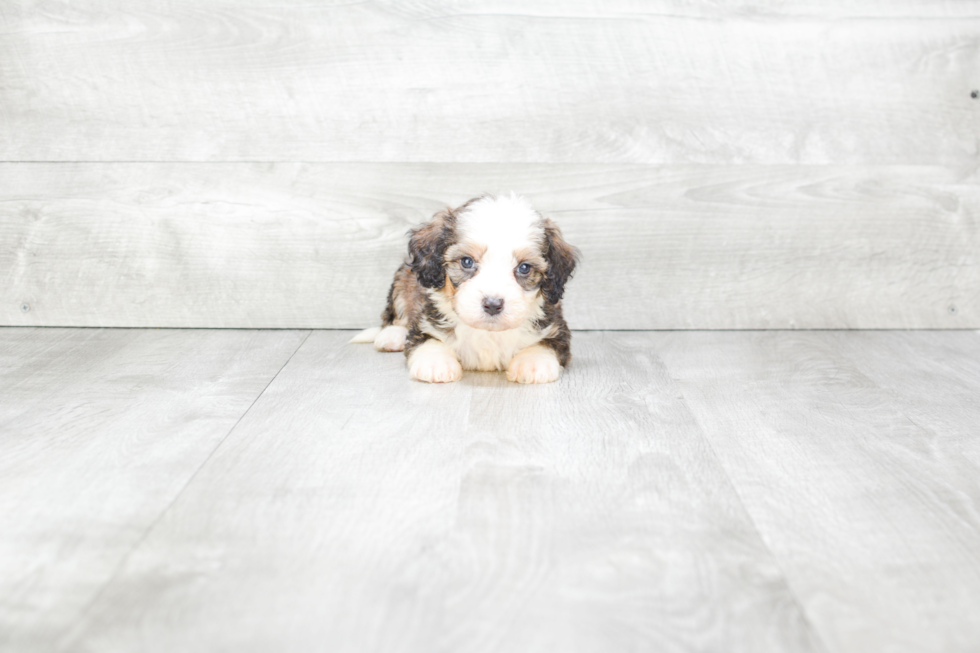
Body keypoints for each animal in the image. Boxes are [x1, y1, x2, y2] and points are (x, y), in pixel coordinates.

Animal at [352, 196, 580, 384]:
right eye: (467, 261)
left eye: (524, 268)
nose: (493, 304)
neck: (487, 333)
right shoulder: (427, 319)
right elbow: (429, 339)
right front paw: (436, 363)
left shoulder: (556, 326)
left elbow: (546, 343)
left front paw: (532, 363)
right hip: (403, 278)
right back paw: (392, 335)